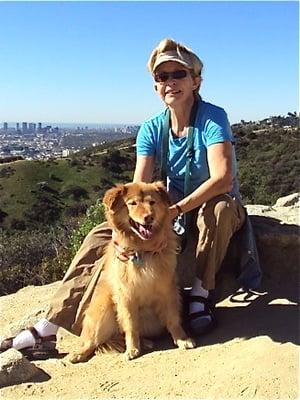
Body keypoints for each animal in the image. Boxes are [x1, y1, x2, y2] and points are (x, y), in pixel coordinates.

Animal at [68, 181, 195, 362]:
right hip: (103, 310)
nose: (149, 217)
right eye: (133, 203)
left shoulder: (167, 289)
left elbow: (173, 319)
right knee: (92, 341)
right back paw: (79, 354)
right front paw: (132, 348)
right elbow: (130, 324)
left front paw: (181, 339)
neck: (142, 250)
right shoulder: (126, 295)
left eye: (152, 202)